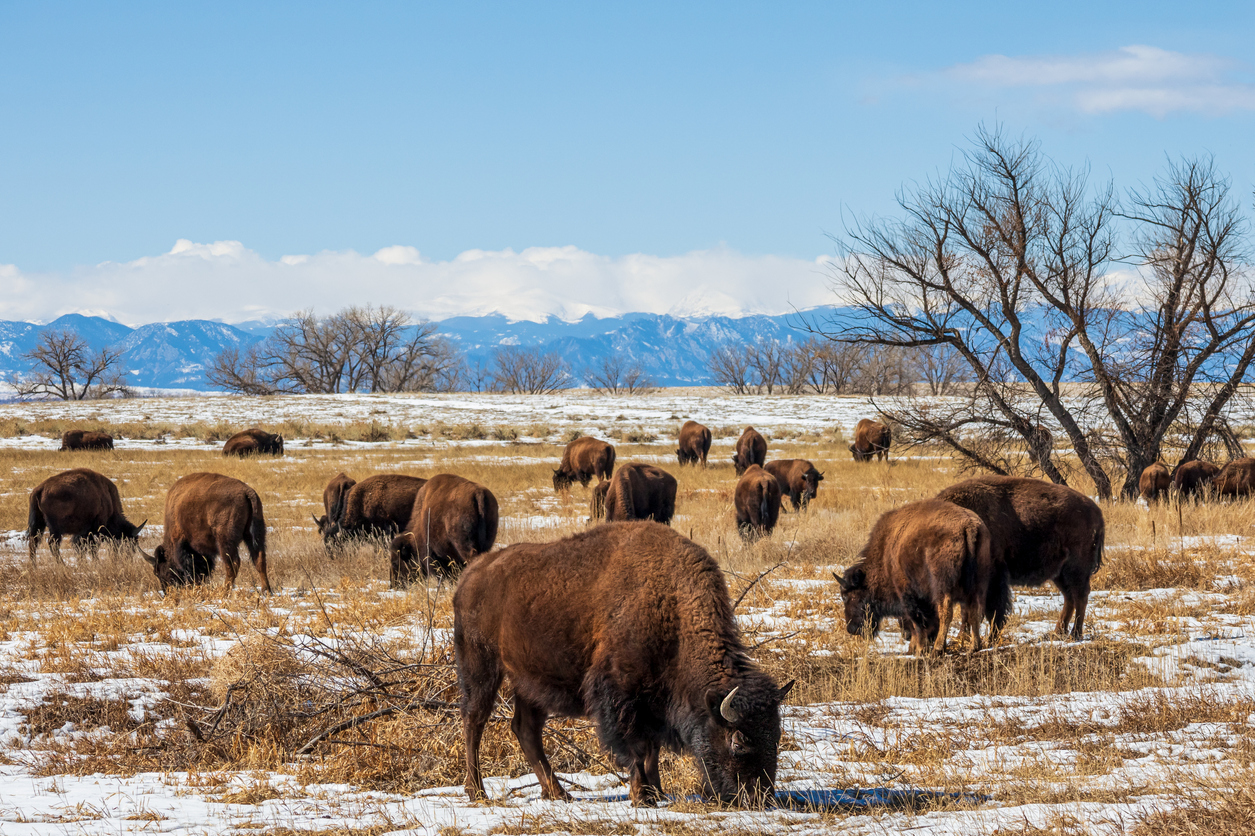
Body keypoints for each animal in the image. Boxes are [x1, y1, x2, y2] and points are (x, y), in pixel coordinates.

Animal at [140, 472, 271, 593]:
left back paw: (225, 590)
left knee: (233, 563)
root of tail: (247, 492)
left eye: (158, 572)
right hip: (256, 534)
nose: (167, 591)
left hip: (225, 540)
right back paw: (266, 590)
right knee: (259, 560)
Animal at [454, 521, 794, 806]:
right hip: (481, 666)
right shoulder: (620, 695)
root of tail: (472, 574)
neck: (670, 605)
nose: (761, 799)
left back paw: (558, 793)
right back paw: (477, 791)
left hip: (529, 681)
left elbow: (652, 748)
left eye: (775, 737)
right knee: (474, 720)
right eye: (738, 743)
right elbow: (636, 747)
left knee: (526, 730)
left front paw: (656, 792)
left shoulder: (654, 702)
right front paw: (641, 795)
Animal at [837, 499, 992, 655]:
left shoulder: (907, 594)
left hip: (942, 587)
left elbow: (916, 621)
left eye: (845, 596)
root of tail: (969, 526)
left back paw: (938, 648)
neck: (885, 555)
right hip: (978, 584)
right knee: (975, 612)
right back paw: (974, 647)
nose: (851, 629)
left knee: (945, 612)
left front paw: (919, 649)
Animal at [935, 475, 1104, 640]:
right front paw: (961, 637)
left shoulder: (994, 576)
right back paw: (1058, 632)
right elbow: (968, 609)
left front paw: (991, 637)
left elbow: (993, 608)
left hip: (1076, 569)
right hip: (1059, 573)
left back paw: (1075, 634)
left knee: (1080, 596)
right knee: (1070, 597)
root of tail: (1096, 511)